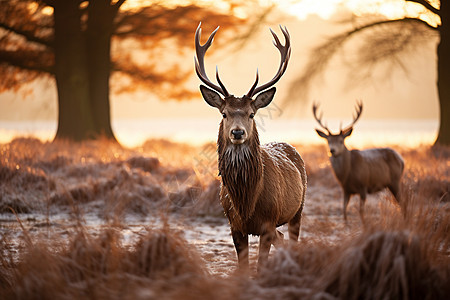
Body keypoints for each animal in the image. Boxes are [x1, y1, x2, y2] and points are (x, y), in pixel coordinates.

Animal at [195, 23, 308, 270]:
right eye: (224, 113)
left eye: (251, 114)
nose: (238, 132)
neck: (246, 202)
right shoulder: (234, 226)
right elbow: (243, 267)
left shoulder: (268, 223)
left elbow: (260, 266)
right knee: (282, 239)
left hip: (299, 208)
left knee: (292, 239)